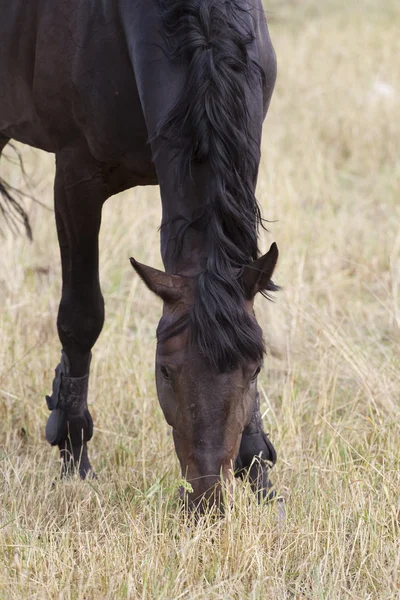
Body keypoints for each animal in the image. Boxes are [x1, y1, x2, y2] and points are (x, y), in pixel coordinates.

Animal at [0, 0, 278, 510]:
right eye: (164, 370)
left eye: (254, 371)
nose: (206, 497)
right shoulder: (76, 176)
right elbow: (81, 317)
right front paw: (74, 454)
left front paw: (259, 474)